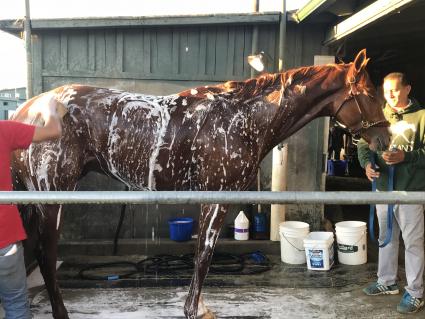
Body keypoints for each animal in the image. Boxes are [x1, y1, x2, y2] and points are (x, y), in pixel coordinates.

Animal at [10, 48, 388, 318]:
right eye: (370, 93)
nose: (385, 140)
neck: (241, 119)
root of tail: (25, 112)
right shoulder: (216, 197)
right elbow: (204, 255)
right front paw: (193, 309)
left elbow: (202, 255)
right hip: (52, 199)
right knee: (45, 255)